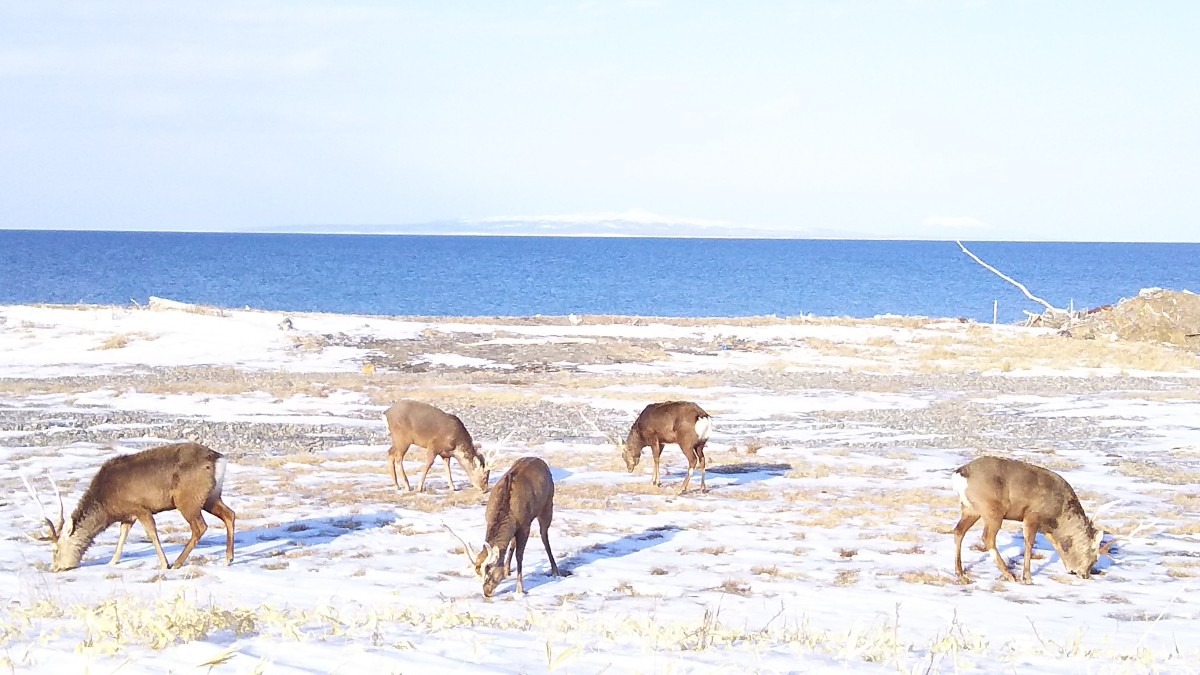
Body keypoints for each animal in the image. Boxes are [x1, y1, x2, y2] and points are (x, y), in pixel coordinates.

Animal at [23, 439, 236, 569]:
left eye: (56, 550)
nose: (55, 568)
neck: (107, 506)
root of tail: (219, 459)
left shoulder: (140, 508)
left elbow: (152, 534)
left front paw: (163, 564)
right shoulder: (127, 516)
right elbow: (122, 537)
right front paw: (112, 562)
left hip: (188, 498)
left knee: (200, 527)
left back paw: (177, 563)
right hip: (211, 496)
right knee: (229, 514)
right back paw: (228, 558)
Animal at [446, 454, 566, 595]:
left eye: (489, 572)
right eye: (478, 574)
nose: (486, 592)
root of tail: (540, 461)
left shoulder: (525, 525)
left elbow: (520, 556)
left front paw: (520, 589)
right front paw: (506, 571)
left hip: (547, 504)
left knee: (544, 535)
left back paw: (555, 570)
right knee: (513, 541)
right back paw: (508, 568)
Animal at [950, 454, 1108, 581]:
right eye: (1094, 558)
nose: (1085, 575)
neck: (1058, 517)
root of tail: (960, 474)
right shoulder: (1032, 515)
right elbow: (1029, 543)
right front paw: (1027, 577)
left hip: (970, 509)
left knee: (958, 531)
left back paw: (960, 572)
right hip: (992, 510)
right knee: (987, 537)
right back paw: (1009, 575)